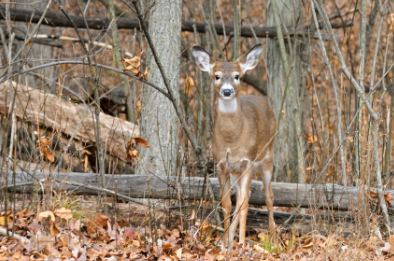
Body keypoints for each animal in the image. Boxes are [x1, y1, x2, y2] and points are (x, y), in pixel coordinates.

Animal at [192, 43, 276, 246]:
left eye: (237, 76)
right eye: (217, 75)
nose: (227, 91)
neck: (232, 140)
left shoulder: (248, 161)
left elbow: (244, 205)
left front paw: (242, 243)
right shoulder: (221, 164)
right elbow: (227, 204)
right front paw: (225, 243)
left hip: (267, 156)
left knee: (268, 195)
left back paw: (272, 234)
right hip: (236, 170)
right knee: (241, 196)